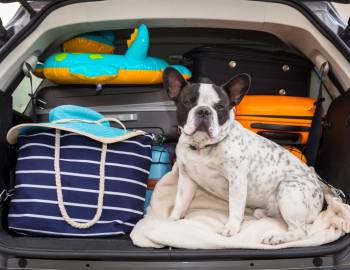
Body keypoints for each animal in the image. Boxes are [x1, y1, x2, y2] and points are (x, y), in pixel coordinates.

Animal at [163, 66, 326, 245]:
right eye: (187, 102)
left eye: (220, 107)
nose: (204, 111)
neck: (202, 146)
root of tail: (321, 197)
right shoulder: (187, 178)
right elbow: (180, 201)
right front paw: (172, 219)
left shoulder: (237, 180)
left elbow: (235, 206)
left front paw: (231, 228)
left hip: (287, 190)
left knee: (300, 232)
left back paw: (276, 237)